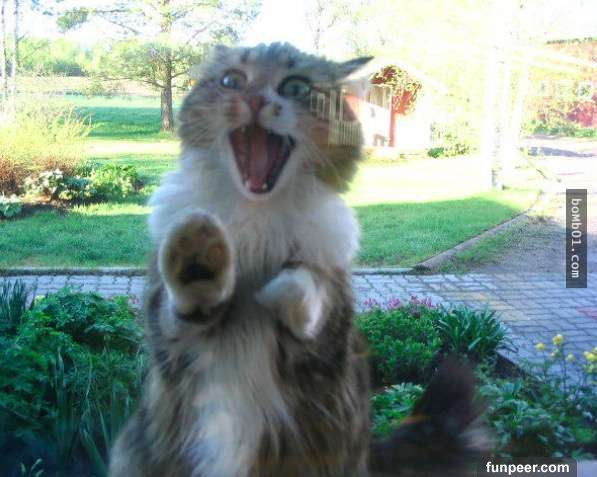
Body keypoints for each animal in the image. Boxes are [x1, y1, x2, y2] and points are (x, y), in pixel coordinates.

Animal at [109, 42, 487, 477]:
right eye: (232, 80)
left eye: (295, 87)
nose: (256, 100)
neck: (256, 219)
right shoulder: (167, 338)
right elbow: (182, 304)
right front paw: (199, 257)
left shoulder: (329, 335)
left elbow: (307, 288)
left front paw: (278, 287)